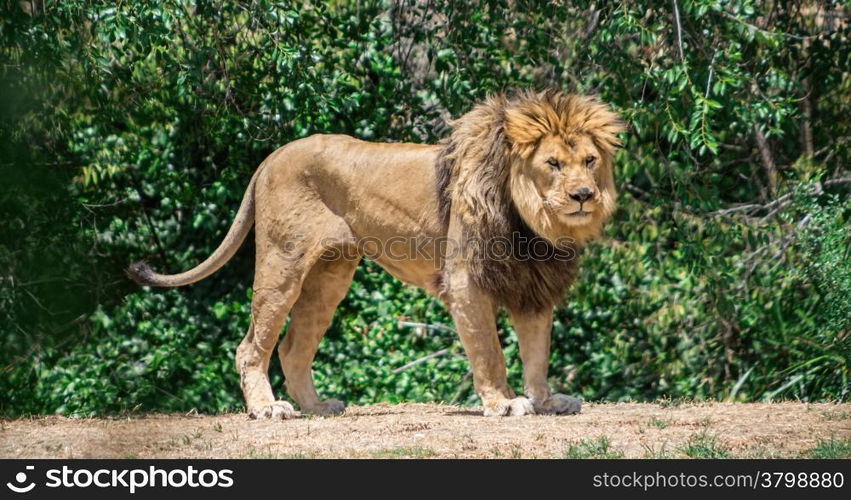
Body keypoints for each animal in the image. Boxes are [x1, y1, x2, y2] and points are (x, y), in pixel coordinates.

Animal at [131, 89, 624, 418]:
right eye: (553, 164)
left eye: (589, 161)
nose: (584, 196)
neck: (534, 223)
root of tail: (271, 157)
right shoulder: (466, 281)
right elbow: (489, 350)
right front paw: (502, 403)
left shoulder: (532, 284)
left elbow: (537, 352)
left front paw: (546, 400)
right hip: (281, 264)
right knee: (252, 345)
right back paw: (268, 409)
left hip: (329, 277)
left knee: (293, 347)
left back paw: (316, 405)